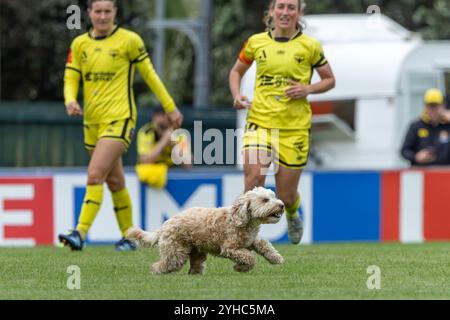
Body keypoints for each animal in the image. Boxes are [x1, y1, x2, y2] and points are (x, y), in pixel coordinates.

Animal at [125, 188, 284, 276]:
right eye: (265, 200)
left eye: (274, 196)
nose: (281, 205)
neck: (243, 220)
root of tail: (165, 224)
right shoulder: (230, 248)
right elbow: (249, 258)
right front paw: (240, 267)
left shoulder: (252, 240)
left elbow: (265, 245)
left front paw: (276, 258)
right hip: (176, 253)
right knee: (162, 265)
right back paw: (155, 273)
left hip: (196, 253)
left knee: (194, 268)